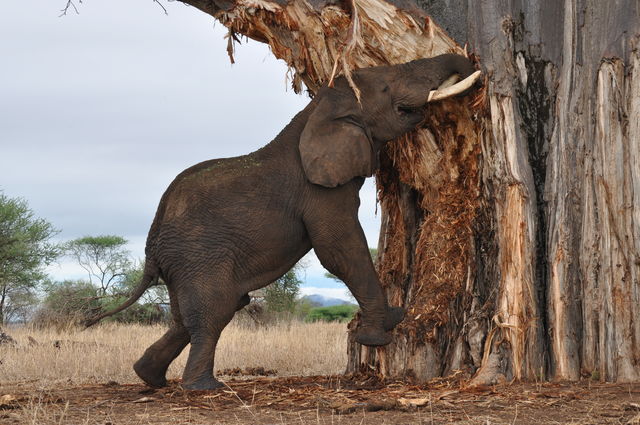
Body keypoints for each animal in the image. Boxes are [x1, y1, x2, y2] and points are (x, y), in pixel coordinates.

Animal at [90, 53, 480, 390]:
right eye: (387, 88)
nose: (470, 65)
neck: (315, 110)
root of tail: (151, 244)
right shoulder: (319, 190)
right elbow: (338, 247)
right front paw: (382, 330)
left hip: (182, 262)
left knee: (194, 315)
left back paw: (149, 377)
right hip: (197, 255)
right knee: (213, 311)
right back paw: (204, 388)